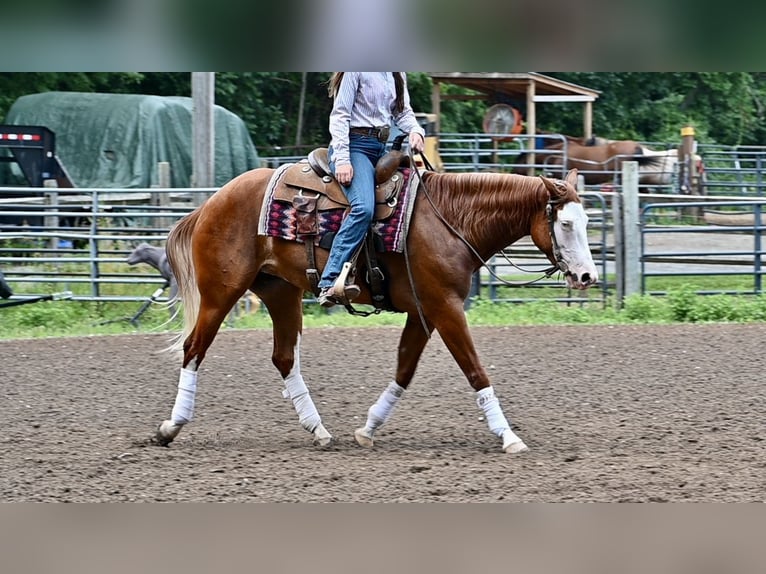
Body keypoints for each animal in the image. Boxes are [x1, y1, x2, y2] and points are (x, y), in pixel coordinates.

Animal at [152, 165, 598, 454]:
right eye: (566, 224)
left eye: (587, 222)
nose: (588, 276)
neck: (450, 220)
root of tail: (212, 202)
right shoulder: (445, 307)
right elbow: (475, 371)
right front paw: (508, 436)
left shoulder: (424, 312)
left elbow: (404, 369)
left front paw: (368, 428)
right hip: (221, 291)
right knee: (194, 349)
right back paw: (171, 427)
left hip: (281, 292)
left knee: (284, 357)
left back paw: (318, 430)